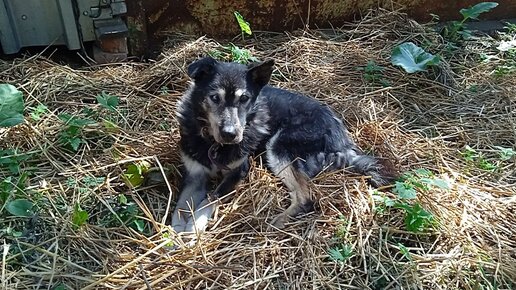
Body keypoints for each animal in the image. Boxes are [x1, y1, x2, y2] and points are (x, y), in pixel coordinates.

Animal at [171, 57, 394, 236]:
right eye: (214, 97)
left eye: (244, 99)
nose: (230, 134)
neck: (213, 144)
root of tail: (343, 140)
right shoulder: (194, 176)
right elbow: (180, 206)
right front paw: (174, 232)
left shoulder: (238, 171)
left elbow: (209, 199)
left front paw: (193, 228)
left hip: (279, 145)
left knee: (306, 198)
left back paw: (278, 221)